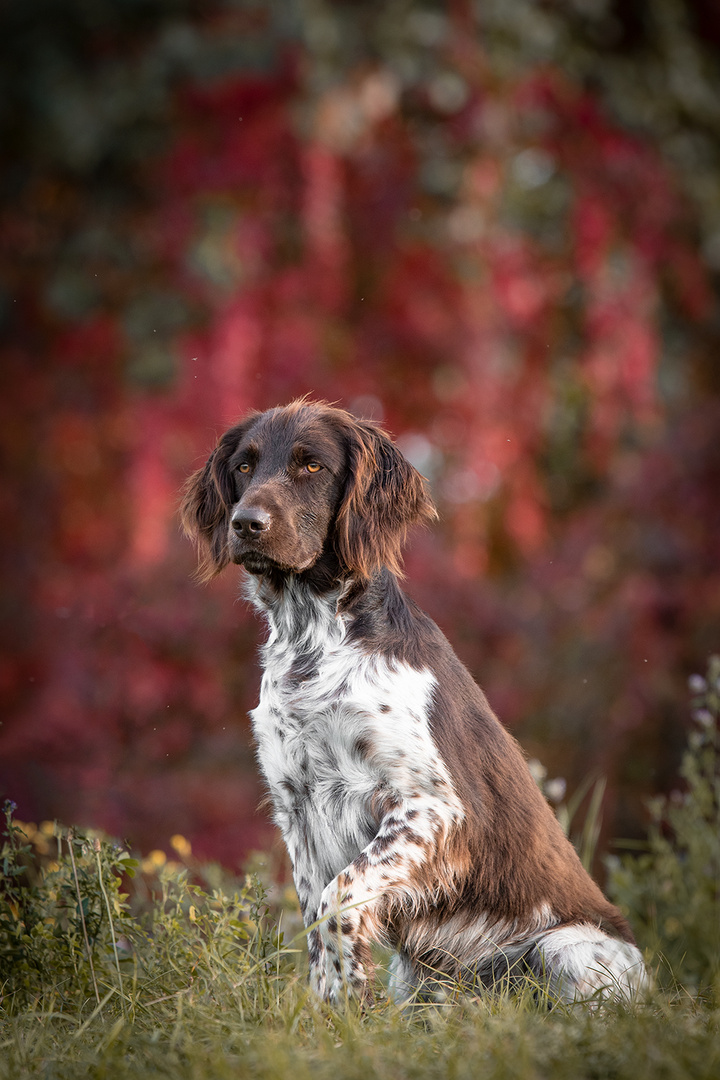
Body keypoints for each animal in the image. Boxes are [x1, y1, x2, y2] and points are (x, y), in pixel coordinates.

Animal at [180, 401, 647, 1006]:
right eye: (243, 466)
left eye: (312, 466)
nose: (246, 523)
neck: (313, 645)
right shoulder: (297, 810)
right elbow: (315, 928)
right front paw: (332, 1015)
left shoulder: (433, 807)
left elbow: (337, 900)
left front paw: (353, 1006)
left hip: (564, 947)